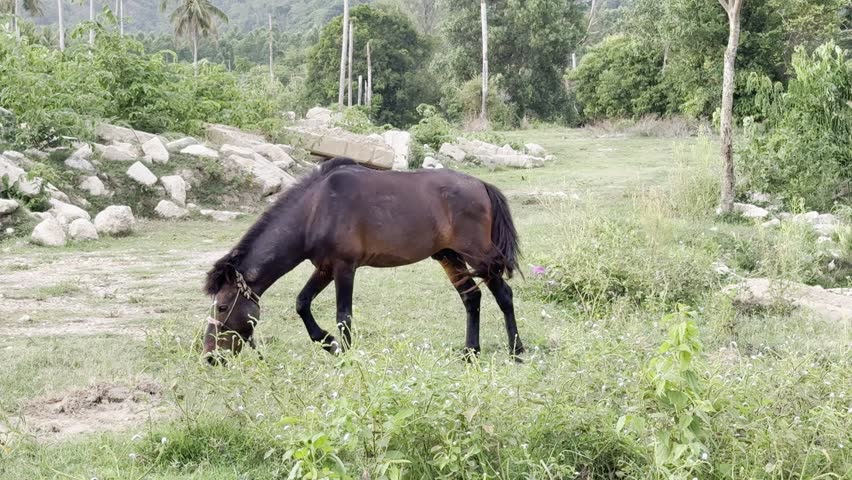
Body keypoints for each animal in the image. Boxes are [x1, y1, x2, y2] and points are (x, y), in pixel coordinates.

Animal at [202, 157, 524, 363]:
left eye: (222, 307)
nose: (210, 356)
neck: (316, 209)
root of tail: (481, 184)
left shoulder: (345, 267)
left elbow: (343, 316)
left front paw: (345, 355)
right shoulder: (325, 268)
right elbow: (302, 303)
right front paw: (329, 343)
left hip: (478, 256)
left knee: (504, 295)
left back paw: (516, 350)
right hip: (449, 256)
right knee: (472, 298)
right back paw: (471, 352)